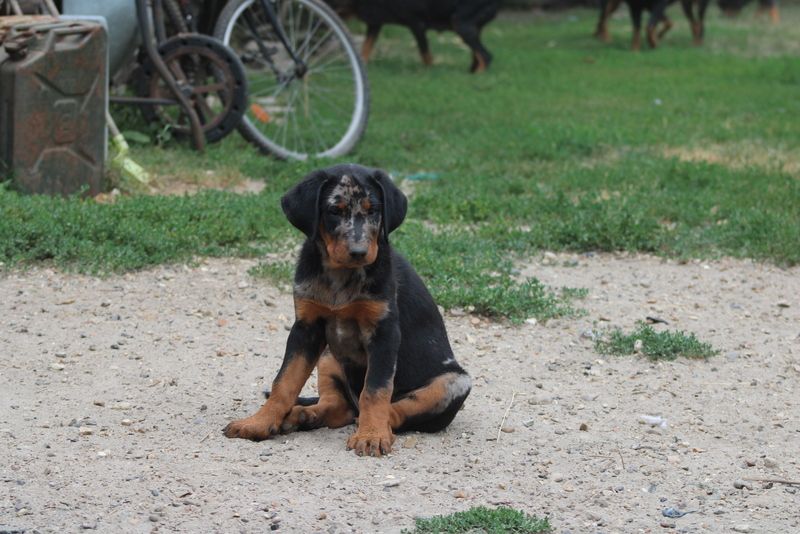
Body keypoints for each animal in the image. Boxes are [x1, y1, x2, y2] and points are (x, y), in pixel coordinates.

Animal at [222, 163, 472, 456]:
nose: (359, 251)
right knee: (338, 407)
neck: (341, 276)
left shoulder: (384, 333)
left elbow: (375, 390)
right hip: (329, 356)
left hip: (452, 383)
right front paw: (259, 423)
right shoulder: (305, 329)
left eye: (373, 210)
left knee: (388, 411)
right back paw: (301, 415)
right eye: (334, 210)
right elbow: (284, 382)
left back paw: (373, 426)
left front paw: (372, 435)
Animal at [326, 0, 500, 72]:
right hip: (471, 29)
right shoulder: (375, 24)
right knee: (478, 56)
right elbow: (365, 50)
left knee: (486, 56)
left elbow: (426, 55)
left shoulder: (417, 25)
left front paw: (429, 73)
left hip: (460, 24)